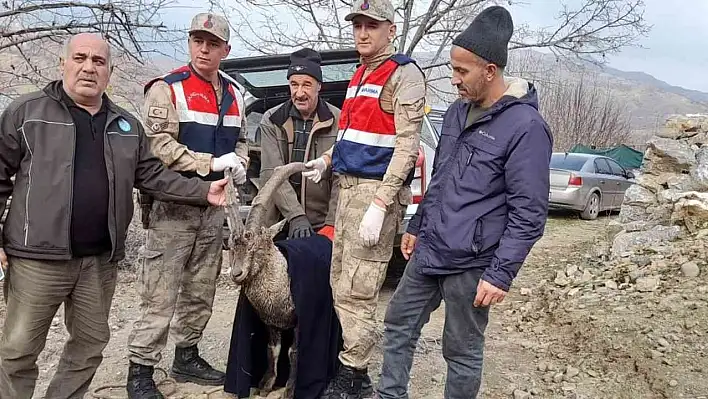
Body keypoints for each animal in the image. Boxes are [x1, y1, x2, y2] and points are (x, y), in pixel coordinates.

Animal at [224, 162, 306, 399]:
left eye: (256, 247)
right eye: (230, 246)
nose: (237, 274)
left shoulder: (298, 321)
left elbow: (294, 352)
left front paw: (290, 389)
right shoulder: (270, 323)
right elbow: (273, 350)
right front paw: (266, 384)